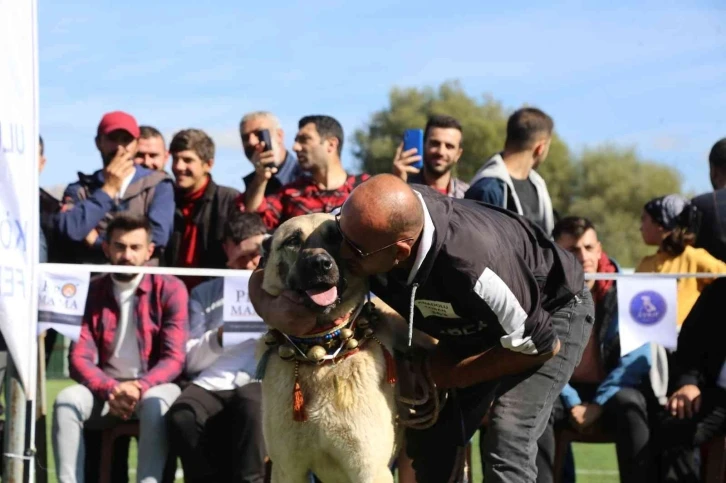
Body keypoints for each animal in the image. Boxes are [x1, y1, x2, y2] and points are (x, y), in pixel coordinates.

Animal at [256, 214, 404, 483]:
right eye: (293, 241)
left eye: (335, 237)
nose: (320, 265)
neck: (321, 353)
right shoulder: (287, 469)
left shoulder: (370, 470)